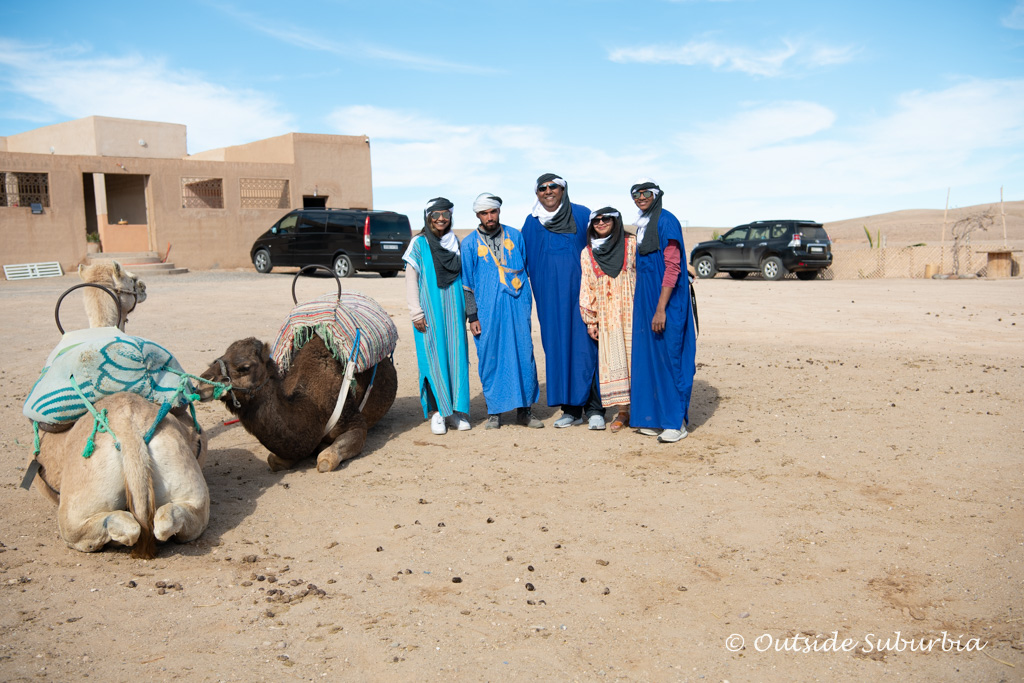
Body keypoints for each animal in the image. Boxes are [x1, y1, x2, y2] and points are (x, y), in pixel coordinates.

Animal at [197, 335, 397, 473]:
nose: (202, 384)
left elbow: (325, 460)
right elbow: (274, 460)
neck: (313, 406)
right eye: (217, 359)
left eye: (244, 367)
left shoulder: (355, 423)